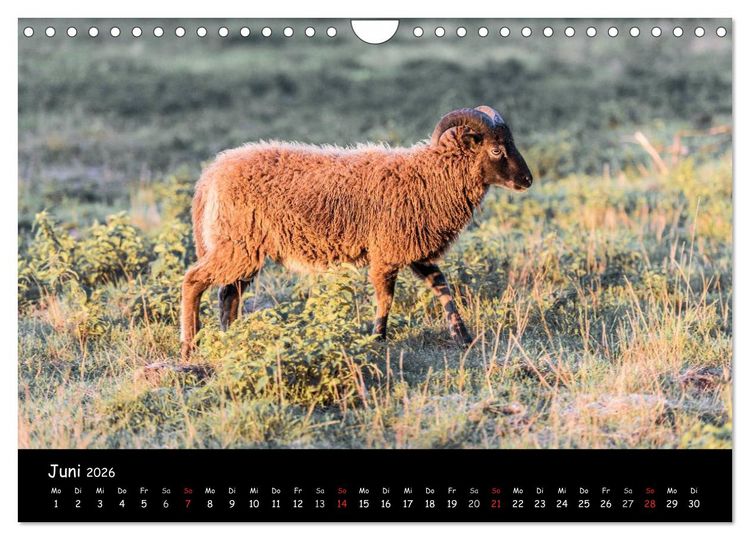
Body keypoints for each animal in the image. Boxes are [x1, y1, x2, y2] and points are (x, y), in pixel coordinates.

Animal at [180, 106, 532, 361]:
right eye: (497, 150)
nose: (528, 180)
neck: (429, 176)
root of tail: (210, 176)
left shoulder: (414, 250)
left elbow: (442, 287)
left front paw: (464, 336)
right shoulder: (386, 252)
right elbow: (385, 299)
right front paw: (378, 338)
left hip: (245, 248)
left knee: (228, 295)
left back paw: (232, 339)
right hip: (236, 244)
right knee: (193, 281)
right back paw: (190, 347)